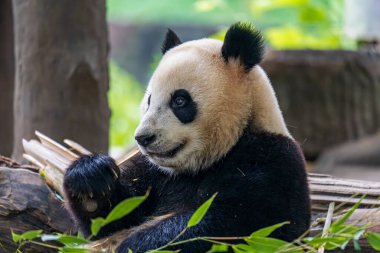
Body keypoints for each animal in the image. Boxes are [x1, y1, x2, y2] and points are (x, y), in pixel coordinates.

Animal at [63, 22, 310, 253]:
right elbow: (112, 217)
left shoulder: (271, 160)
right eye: (149, 100)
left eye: (179, 101)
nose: (143, 137)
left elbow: (237, 222)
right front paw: (90, 176)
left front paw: (138, 243)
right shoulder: (153, 172)